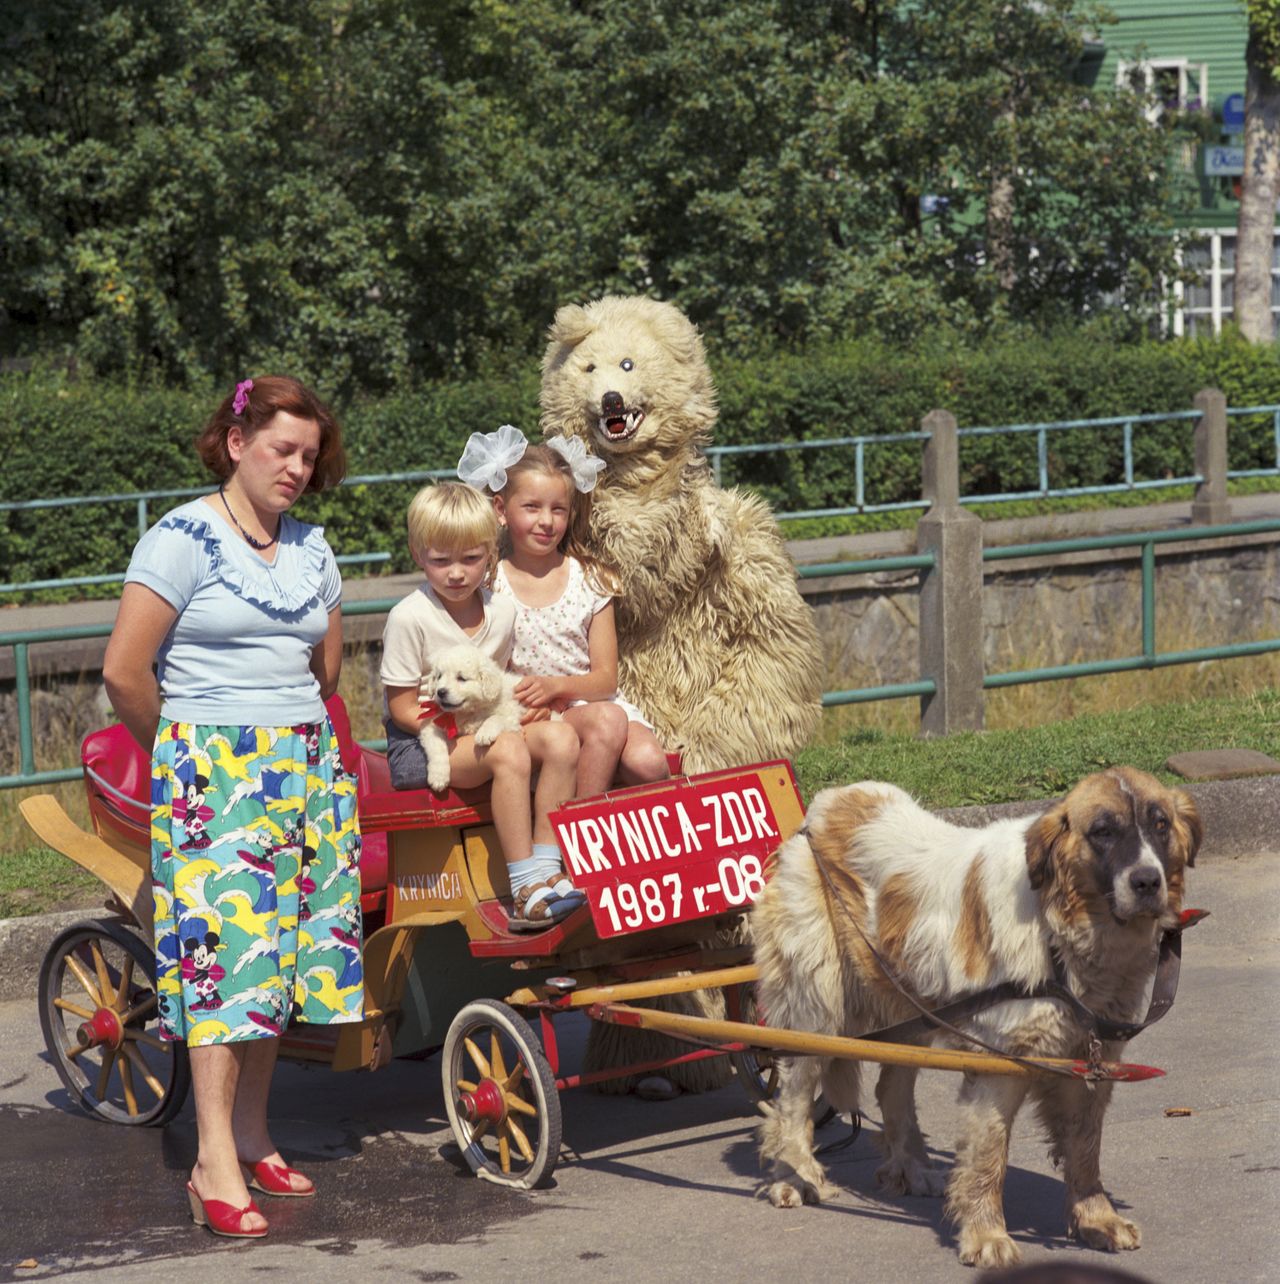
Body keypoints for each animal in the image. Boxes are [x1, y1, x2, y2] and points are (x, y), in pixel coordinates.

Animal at [415, 642, 521, 790]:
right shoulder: (431, 725)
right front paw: (438, 776)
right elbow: (437, 747)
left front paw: (485, 733)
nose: (440, 692)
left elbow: (496, 717)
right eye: (439, 676)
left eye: (461, 678)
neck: (466, 711)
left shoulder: (512, 714)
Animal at [536, 294, 821, 770]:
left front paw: (707, 752)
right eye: (589, 367)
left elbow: (767, 644)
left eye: (628, 363)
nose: (611, 400)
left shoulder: (743, 557)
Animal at [749, 765, 1196, 1268]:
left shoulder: (1091, 1063)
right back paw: (794, 1175)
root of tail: (825, 808)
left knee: (891, 1088)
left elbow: (1085, 1150)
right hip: (817, 1004)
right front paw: (985, 1236)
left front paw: (1097, 1220)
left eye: (1160, 825)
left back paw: (911, 1167)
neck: (1059, 931)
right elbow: (988, 1158)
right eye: (1103, 831)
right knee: (794, 1095)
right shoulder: (1000, 1065)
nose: (1147, 882)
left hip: (912, 1002)